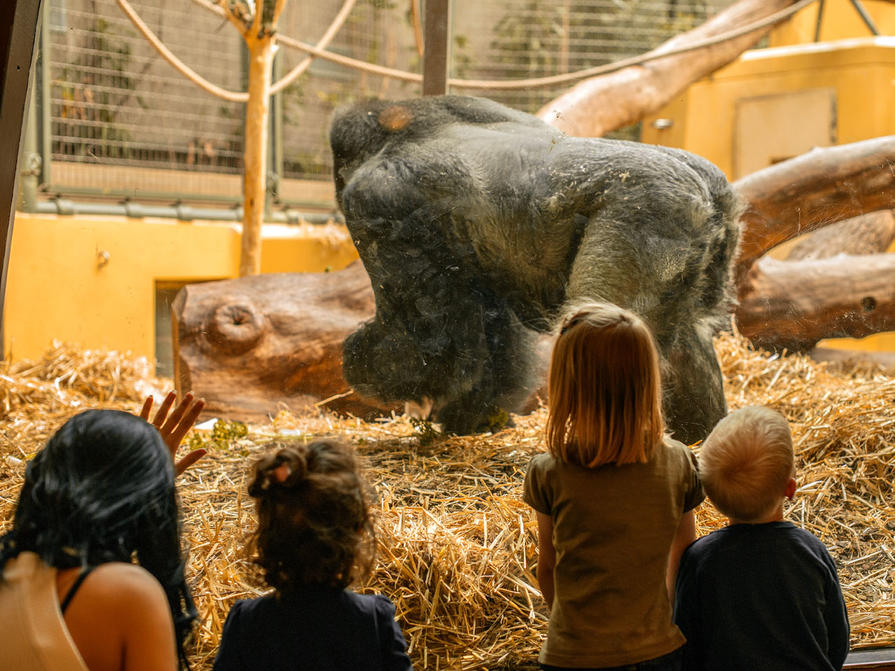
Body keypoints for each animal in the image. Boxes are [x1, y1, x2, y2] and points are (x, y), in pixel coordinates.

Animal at [328, 93, 744, 440]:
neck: (393, 131)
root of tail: (708, 195)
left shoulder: (377, 200)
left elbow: (433, 348)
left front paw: (358, 361)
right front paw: (471, 417)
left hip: (648, 213)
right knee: (689, 335)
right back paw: (701, 438)